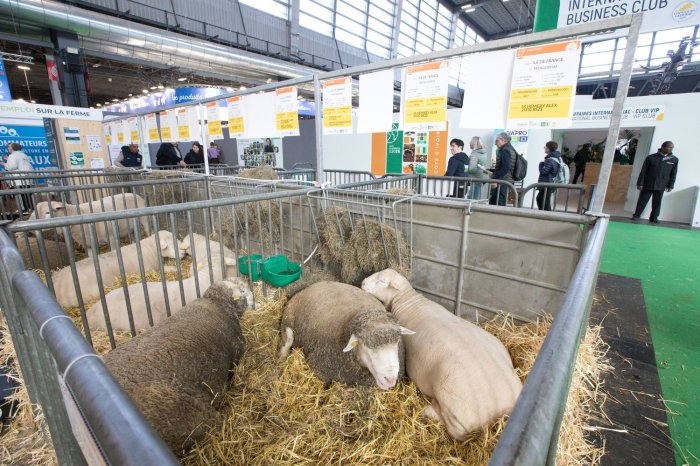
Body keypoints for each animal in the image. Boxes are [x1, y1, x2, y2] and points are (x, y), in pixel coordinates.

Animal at [52, 230, 182, 309]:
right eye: (171, 244)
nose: (184, 252)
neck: (150, 248)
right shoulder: (150, 269)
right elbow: (163, 269)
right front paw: (173, 268)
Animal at [279, 281, 414, 390]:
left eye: (396, 344)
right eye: (366, 348)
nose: (390, 379)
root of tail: (312, 285)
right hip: (288, 320)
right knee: (287, 340)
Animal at [361, 269, 522, 440]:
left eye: (382, 281)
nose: (362, 283)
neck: (407, 300)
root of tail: (501, 407)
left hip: (456, 409)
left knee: (453, 430)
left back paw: (428, 410)